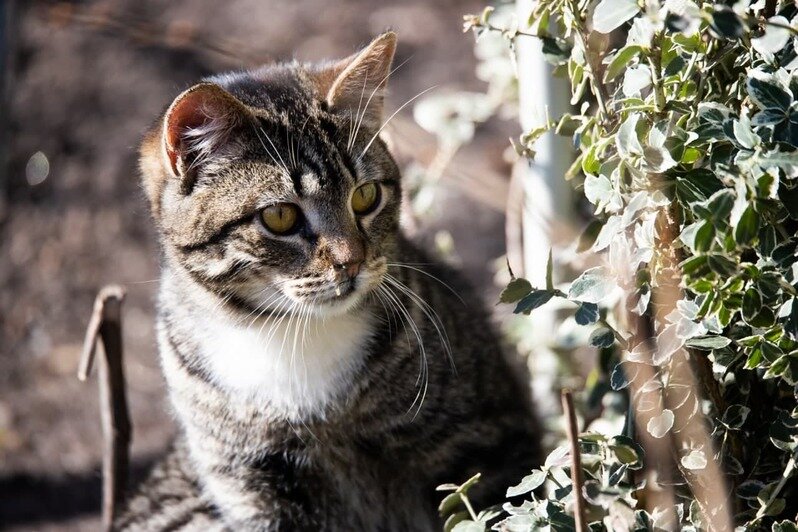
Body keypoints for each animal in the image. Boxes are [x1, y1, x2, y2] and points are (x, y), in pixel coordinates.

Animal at [117, 34, 544, 532]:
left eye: (366, 196)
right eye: (279, 217)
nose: (351, 261)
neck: (286, 336)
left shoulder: (486, 442)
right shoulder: (254, 482)